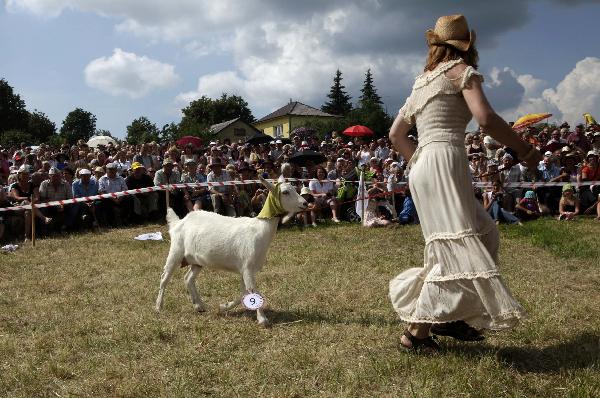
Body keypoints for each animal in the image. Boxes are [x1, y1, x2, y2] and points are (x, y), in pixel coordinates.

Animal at [155, 177, 308, 326]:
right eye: (285, 192)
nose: (305, 203)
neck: (259, 229)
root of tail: (178, 222)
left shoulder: (245, 269)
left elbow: (244, 293)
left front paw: (224, 306)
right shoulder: (247, 267)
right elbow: (253, 291)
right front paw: (262, 319)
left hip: (197, 261)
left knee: (188, 279)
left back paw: (199, 306)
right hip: (176, 251)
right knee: (164, 278)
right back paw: (158, 306)